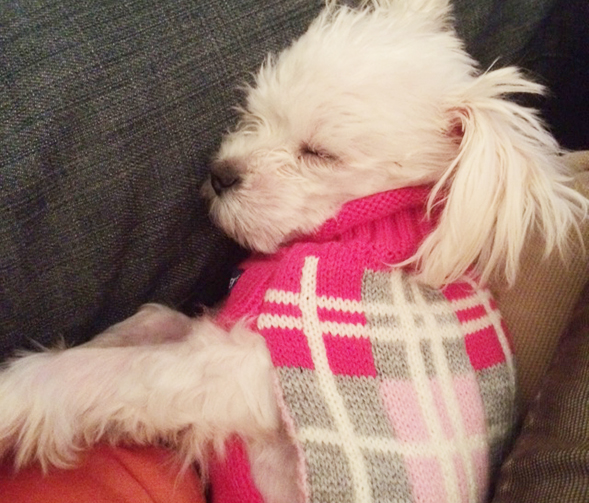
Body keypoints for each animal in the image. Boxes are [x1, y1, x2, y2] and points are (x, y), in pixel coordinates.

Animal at [1, 0, 588, 502]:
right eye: (259, 113)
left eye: (319, 154)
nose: (219, 174)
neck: (363, 230)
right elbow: (150, 321)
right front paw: (96, 340)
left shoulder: (245, 375)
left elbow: (120, 371)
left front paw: (18, 390)